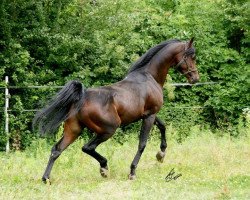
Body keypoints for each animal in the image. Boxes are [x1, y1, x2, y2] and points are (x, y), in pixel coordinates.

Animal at [32, 37, 199, 183]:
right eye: (192, 56)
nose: (195, 78)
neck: (150, 77)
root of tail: (81, 98)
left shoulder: (147, 114)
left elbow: (163, 126)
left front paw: (161, 155)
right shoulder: (149, 116)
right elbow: (142, 144)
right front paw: (132, 172)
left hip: (73, 130)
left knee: (56, 150)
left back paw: (46, 178)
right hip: (108, 129)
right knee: (87, 147)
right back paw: (104, 169)